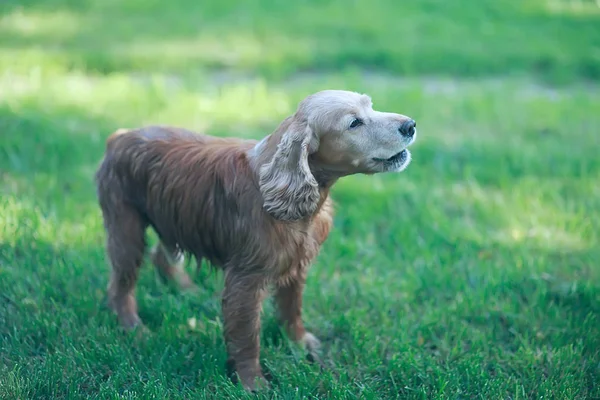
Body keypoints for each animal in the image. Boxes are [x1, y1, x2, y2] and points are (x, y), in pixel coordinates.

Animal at [94, 89, 418, 390]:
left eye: (371, 106)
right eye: (354, 123)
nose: (411, 125)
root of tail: (119, 137)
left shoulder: (296, 265)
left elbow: (292, 310)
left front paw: (299, 344)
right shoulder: (246, 280)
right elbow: (247, 335)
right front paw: (253, 382)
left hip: (174, 217)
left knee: (162, 256)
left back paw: (186, 291)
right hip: (126, 229)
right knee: (120, 286)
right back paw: (134, 328)